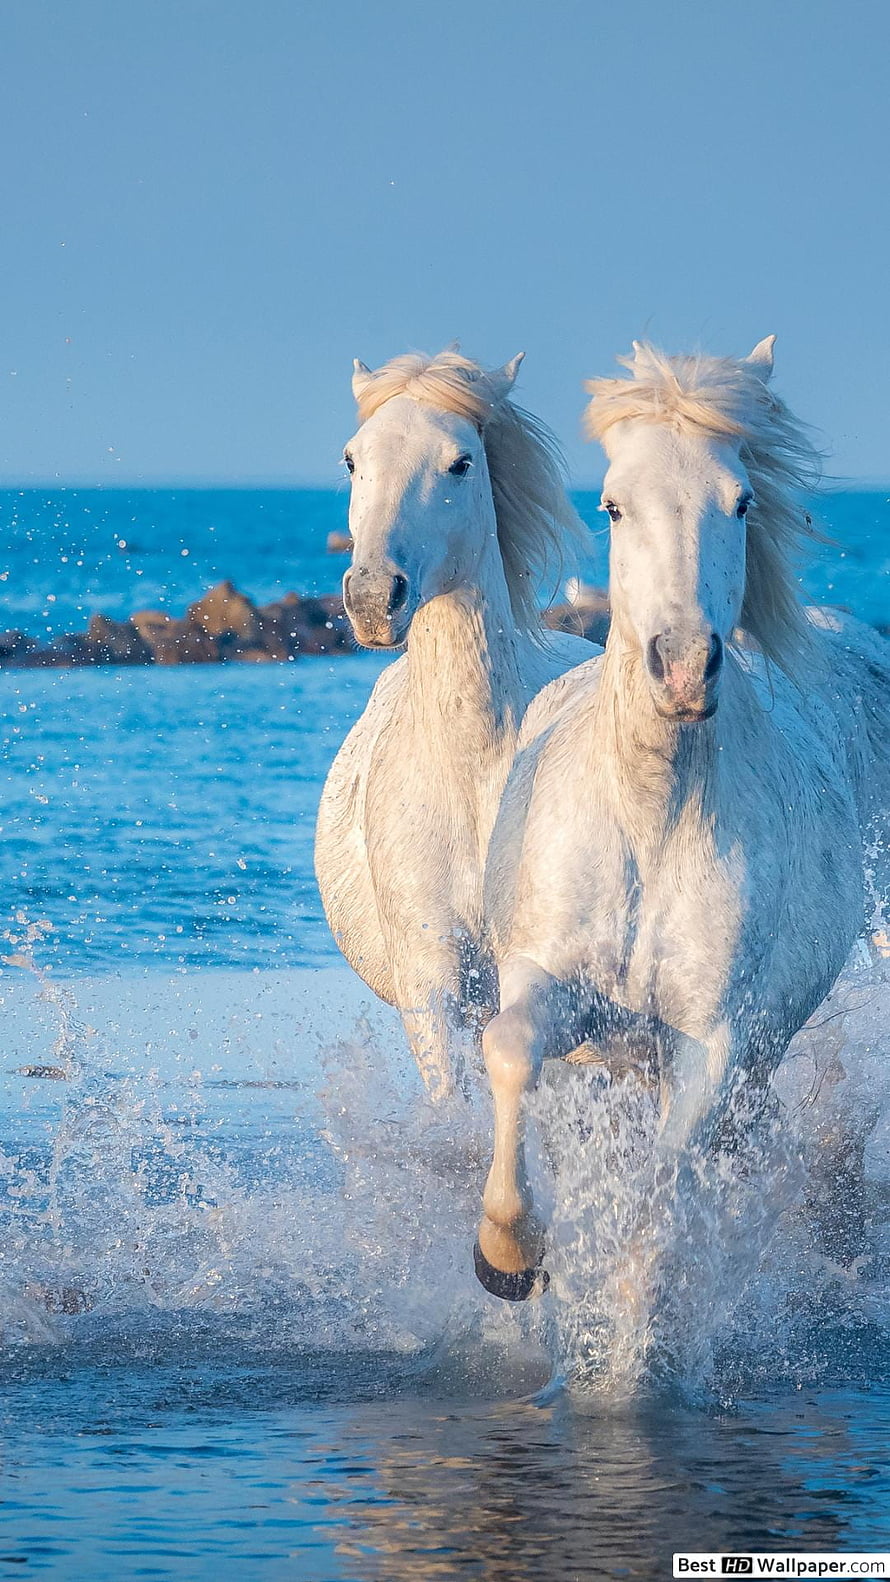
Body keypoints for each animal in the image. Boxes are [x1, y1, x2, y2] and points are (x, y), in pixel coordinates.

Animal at [475, 337, 890, 1301]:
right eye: (612, 504)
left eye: (739, 500)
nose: (684, 667)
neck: (650, 824)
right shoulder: (553, 984)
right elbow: (508, 1046)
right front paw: (509, 1252)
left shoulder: (711, 1045)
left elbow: (657, 1202)